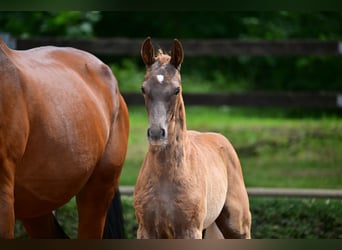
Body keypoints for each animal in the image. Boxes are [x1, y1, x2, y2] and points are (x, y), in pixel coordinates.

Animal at [134, 36, 251, 238]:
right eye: (143, 89)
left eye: (176, 90)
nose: (156, 133)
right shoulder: (146, 230)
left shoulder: (189, 230)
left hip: (238, 226)